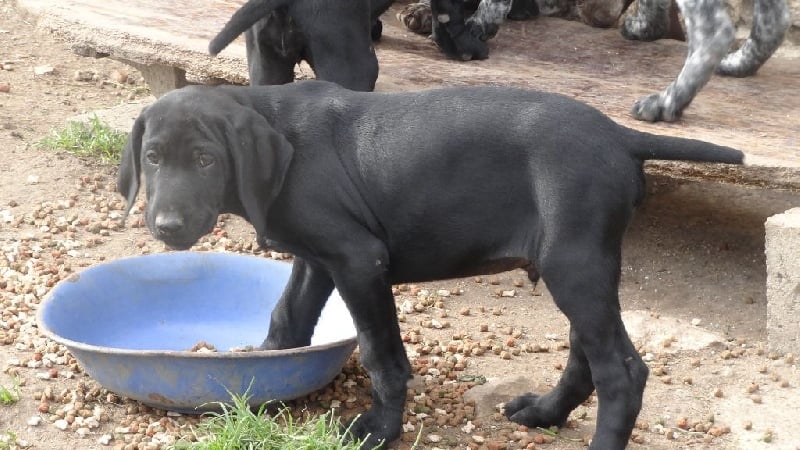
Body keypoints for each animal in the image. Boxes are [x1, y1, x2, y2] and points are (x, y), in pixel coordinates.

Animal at [115, 81, 748, 450]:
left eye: (206, 159)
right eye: (153, 157)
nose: (166, 226)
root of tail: (619, 134)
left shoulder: (358, 260)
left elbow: (381, 356)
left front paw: (378, 429)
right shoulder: (319, 259)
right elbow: (287, 317)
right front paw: (260, 374)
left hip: (575, 264)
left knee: (621, 372)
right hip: (580, 264)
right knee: (586, 356)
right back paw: (545, 413)